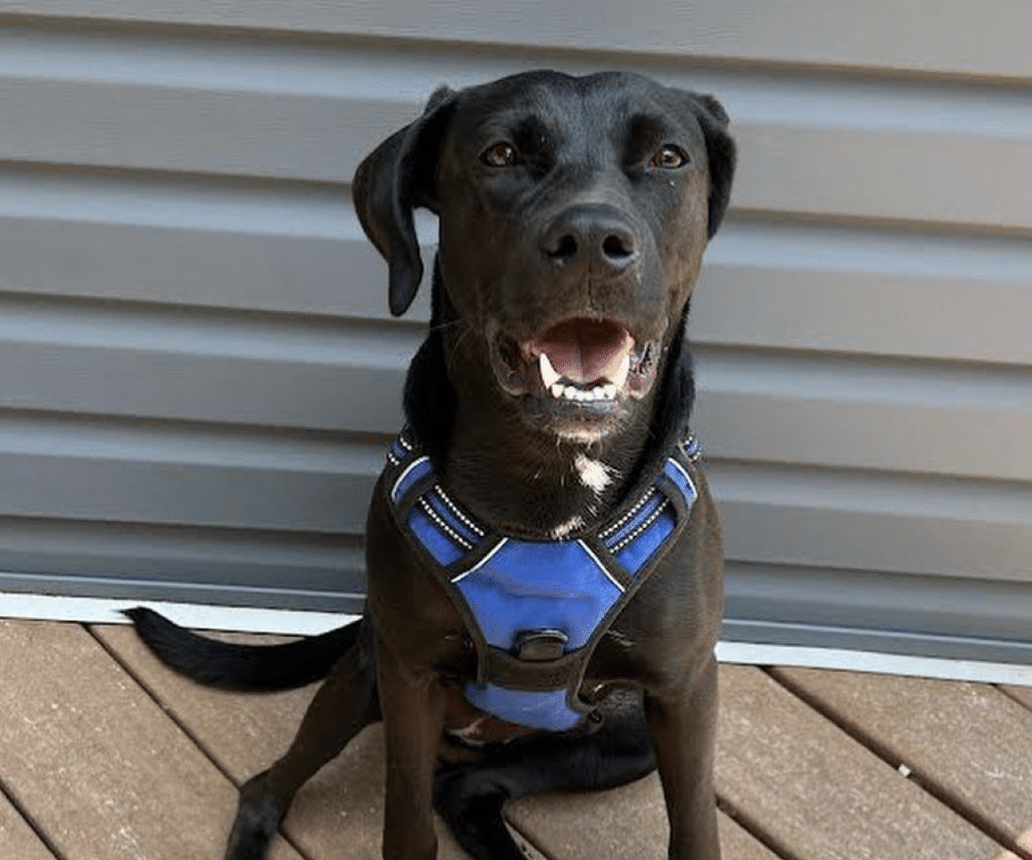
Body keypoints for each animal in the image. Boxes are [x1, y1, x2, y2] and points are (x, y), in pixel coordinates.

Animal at [129, 68, 738, 858]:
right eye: (501, 154)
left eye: (668, 158)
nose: (593, 242)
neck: (548, 483)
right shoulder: (408, 672)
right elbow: (407, 820)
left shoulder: (684, 690)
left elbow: (694, 825)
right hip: (362, 676)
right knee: (275, 785)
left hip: (625, 736)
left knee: (468, 790)